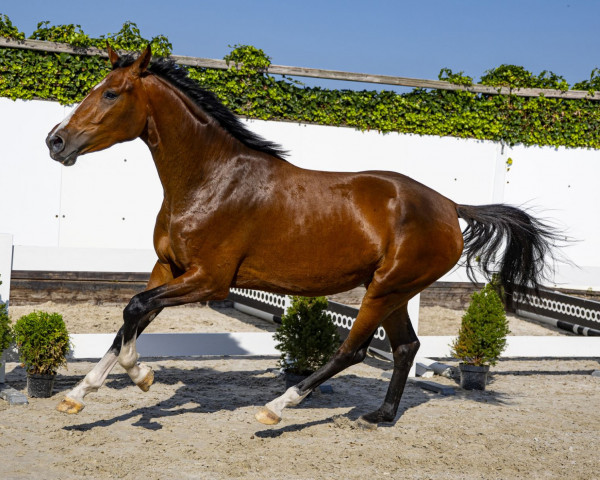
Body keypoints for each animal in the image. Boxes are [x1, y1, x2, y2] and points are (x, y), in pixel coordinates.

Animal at [45, 47, 556, 426]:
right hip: (393, 290)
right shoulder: (167, 268)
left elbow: (134, 309)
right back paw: (379, 416)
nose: (56, 141)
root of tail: (450, 206)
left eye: (112, 93)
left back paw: (277, 407)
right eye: (95, 89)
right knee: (405, 347)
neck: (210, 179)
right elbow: (131, 318)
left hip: (385, 288)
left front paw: (141, 376)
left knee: (354, 349)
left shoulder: (209, 279)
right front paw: (80, 395)